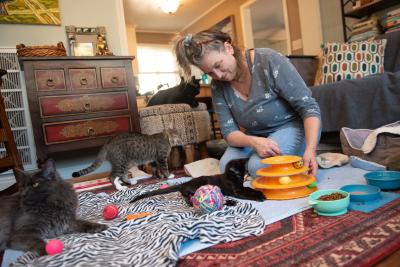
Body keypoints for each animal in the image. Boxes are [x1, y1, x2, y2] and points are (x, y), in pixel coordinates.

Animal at [129, 159, 266, 205]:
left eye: (244, 173)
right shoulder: (236, 190)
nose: (242, 179)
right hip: (197, 188)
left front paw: (259, 193)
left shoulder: (241, 187)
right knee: (187, 196)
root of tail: (185, 183)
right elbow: (246, 193)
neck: (230, 177)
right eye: (237, 174)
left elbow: (248, 189)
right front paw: (258, 197)